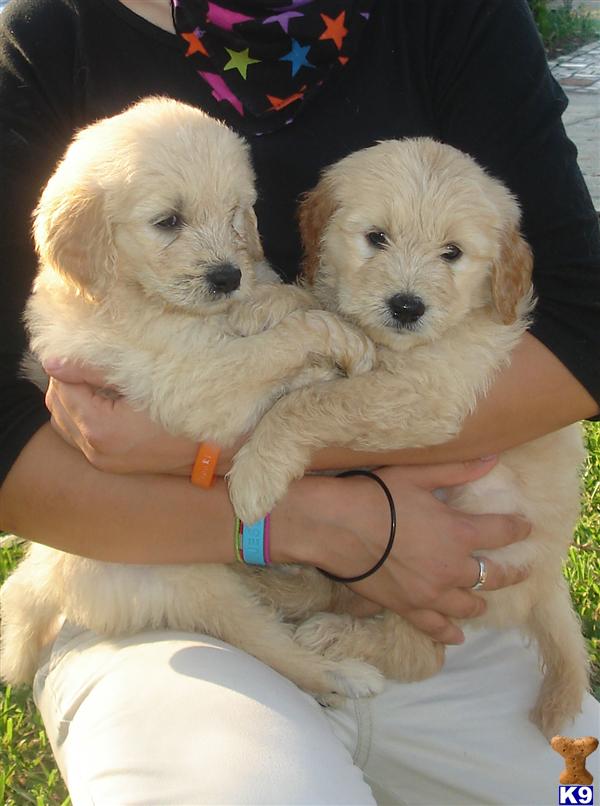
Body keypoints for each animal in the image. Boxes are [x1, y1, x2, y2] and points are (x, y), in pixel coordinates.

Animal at [1, 98, 384, 704]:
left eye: (234, 213)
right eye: (168, 222)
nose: (227, 276)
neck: (142, 299)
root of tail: (50, 576)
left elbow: (281, 300)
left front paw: (286, 313)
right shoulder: (191, 384)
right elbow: (278, 345)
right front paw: (339, 346)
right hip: (198, 584)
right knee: (274, 648)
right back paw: (343, 674)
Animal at [227, 140, 588, 740]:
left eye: (452, 253)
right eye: (377, 237)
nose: (407, 306)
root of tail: (546, 581)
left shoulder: (426, 396)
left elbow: (317, 402)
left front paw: (257, 472)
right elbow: (320, 306)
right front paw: (262, 305)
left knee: (422, 655)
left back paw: (332, 634)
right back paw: (271, 588)